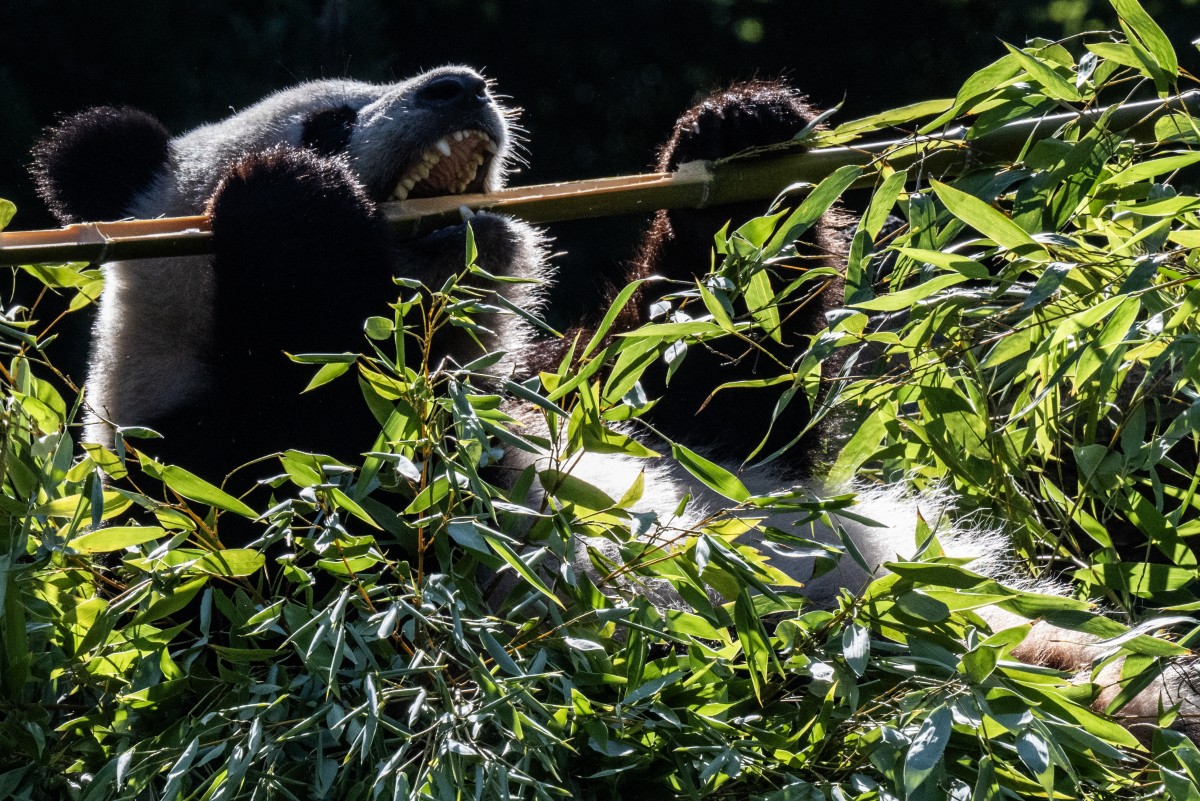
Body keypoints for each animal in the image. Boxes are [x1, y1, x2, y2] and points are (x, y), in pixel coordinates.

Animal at [31, 67, 1200, 742]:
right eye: (326, 120)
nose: (459, 84)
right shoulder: (200, 489)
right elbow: (348, 541)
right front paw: (288, 204)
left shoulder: (576, 396)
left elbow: (718, 381)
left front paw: (737, 138)